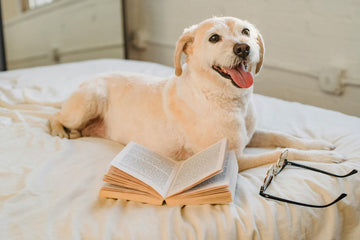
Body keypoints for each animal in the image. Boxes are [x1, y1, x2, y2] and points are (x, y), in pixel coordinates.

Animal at [48, 16, 344, 171]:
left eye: (246, 31)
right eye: (214, 38)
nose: (243, 48)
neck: (227, 99)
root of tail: (86, 81)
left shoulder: (251, 136)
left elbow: (282, 137)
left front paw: (318, 144)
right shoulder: (235, 159)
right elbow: (281, 153)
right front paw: (324, 159)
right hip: (90, 100)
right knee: (54, 116)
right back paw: (61, 130)